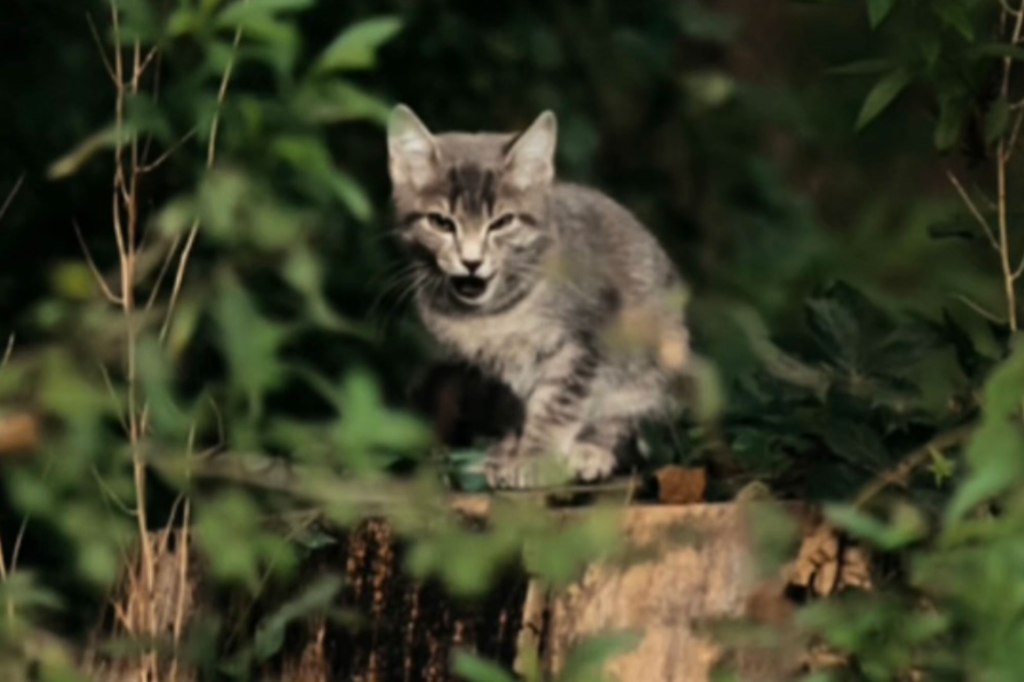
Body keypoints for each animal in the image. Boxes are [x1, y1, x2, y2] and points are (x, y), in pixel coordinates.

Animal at [387, 104, 692, 489]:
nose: (471, 261)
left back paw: (591, 450)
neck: (493, 313)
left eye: (502, 223)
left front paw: (536, 457)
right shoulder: (498, 371)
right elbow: (522, 406)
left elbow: (557, 404)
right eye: (440, 223)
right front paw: (513, 450)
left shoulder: (586, 341)